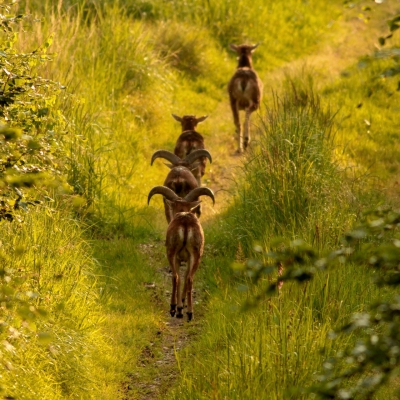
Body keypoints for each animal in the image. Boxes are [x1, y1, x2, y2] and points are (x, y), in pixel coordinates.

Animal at [148, 186, 216, 320]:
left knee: (176, 277)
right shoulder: (188, 259)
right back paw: (189, 313)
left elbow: (179, 277)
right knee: (189, 278)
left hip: (172, 252)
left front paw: (178, 307)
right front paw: (182, 304)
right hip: (196, 254)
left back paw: (174, 308)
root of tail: (185, 222)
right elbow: (185, 277)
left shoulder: (178, 258)